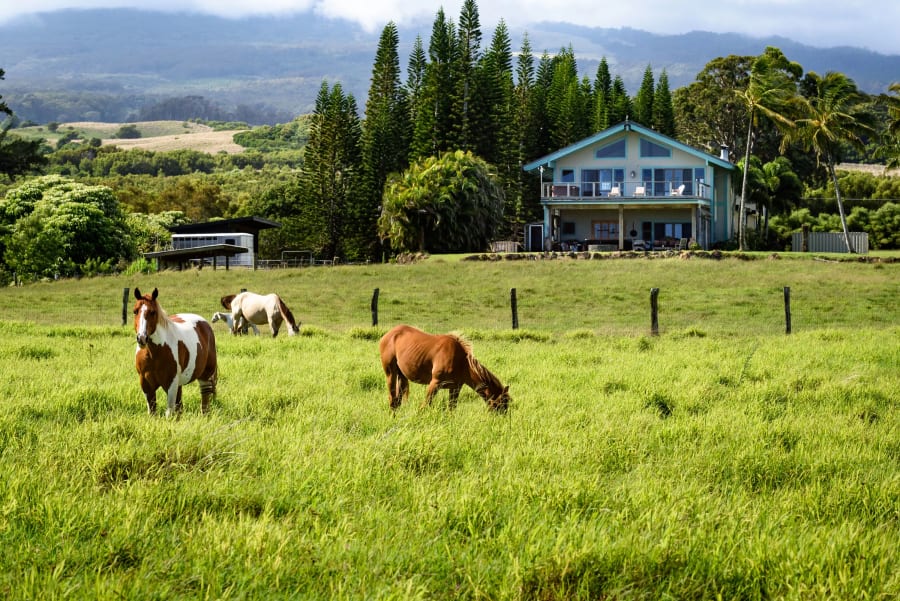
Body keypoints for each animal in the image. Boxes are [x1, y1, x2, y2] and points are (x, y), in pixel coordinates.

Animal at [376, 324, 510, 412]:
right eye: (501, 404)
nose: (501, 420)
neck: (461, 362)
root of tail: (388, 335)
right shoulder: (435, 383)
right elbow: (424, 406)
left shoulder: (455, 388)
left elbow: (452, 409)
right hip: (390, 374)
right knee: (393, 400)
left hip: (401, 376)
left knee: (397, 401)